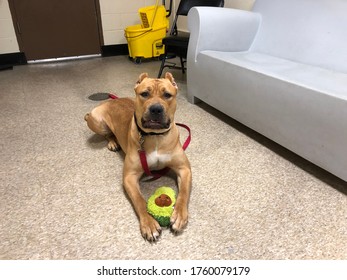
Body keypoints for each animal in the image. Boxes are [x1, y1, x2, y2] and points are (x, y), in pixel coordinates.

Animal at [84, 72, 193, 241]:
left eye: (167, 95)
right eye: (145, 94)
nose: (156, 109)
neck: (155, 136)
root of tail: (113, 100)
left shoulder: (184, 169)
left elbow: (184, 193)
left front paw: (180, 215)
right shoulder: (129, 177)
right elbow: (139, 200)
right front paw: (149, 223)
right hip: (97, 121)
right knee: (107, 134)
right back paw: (113, 142)